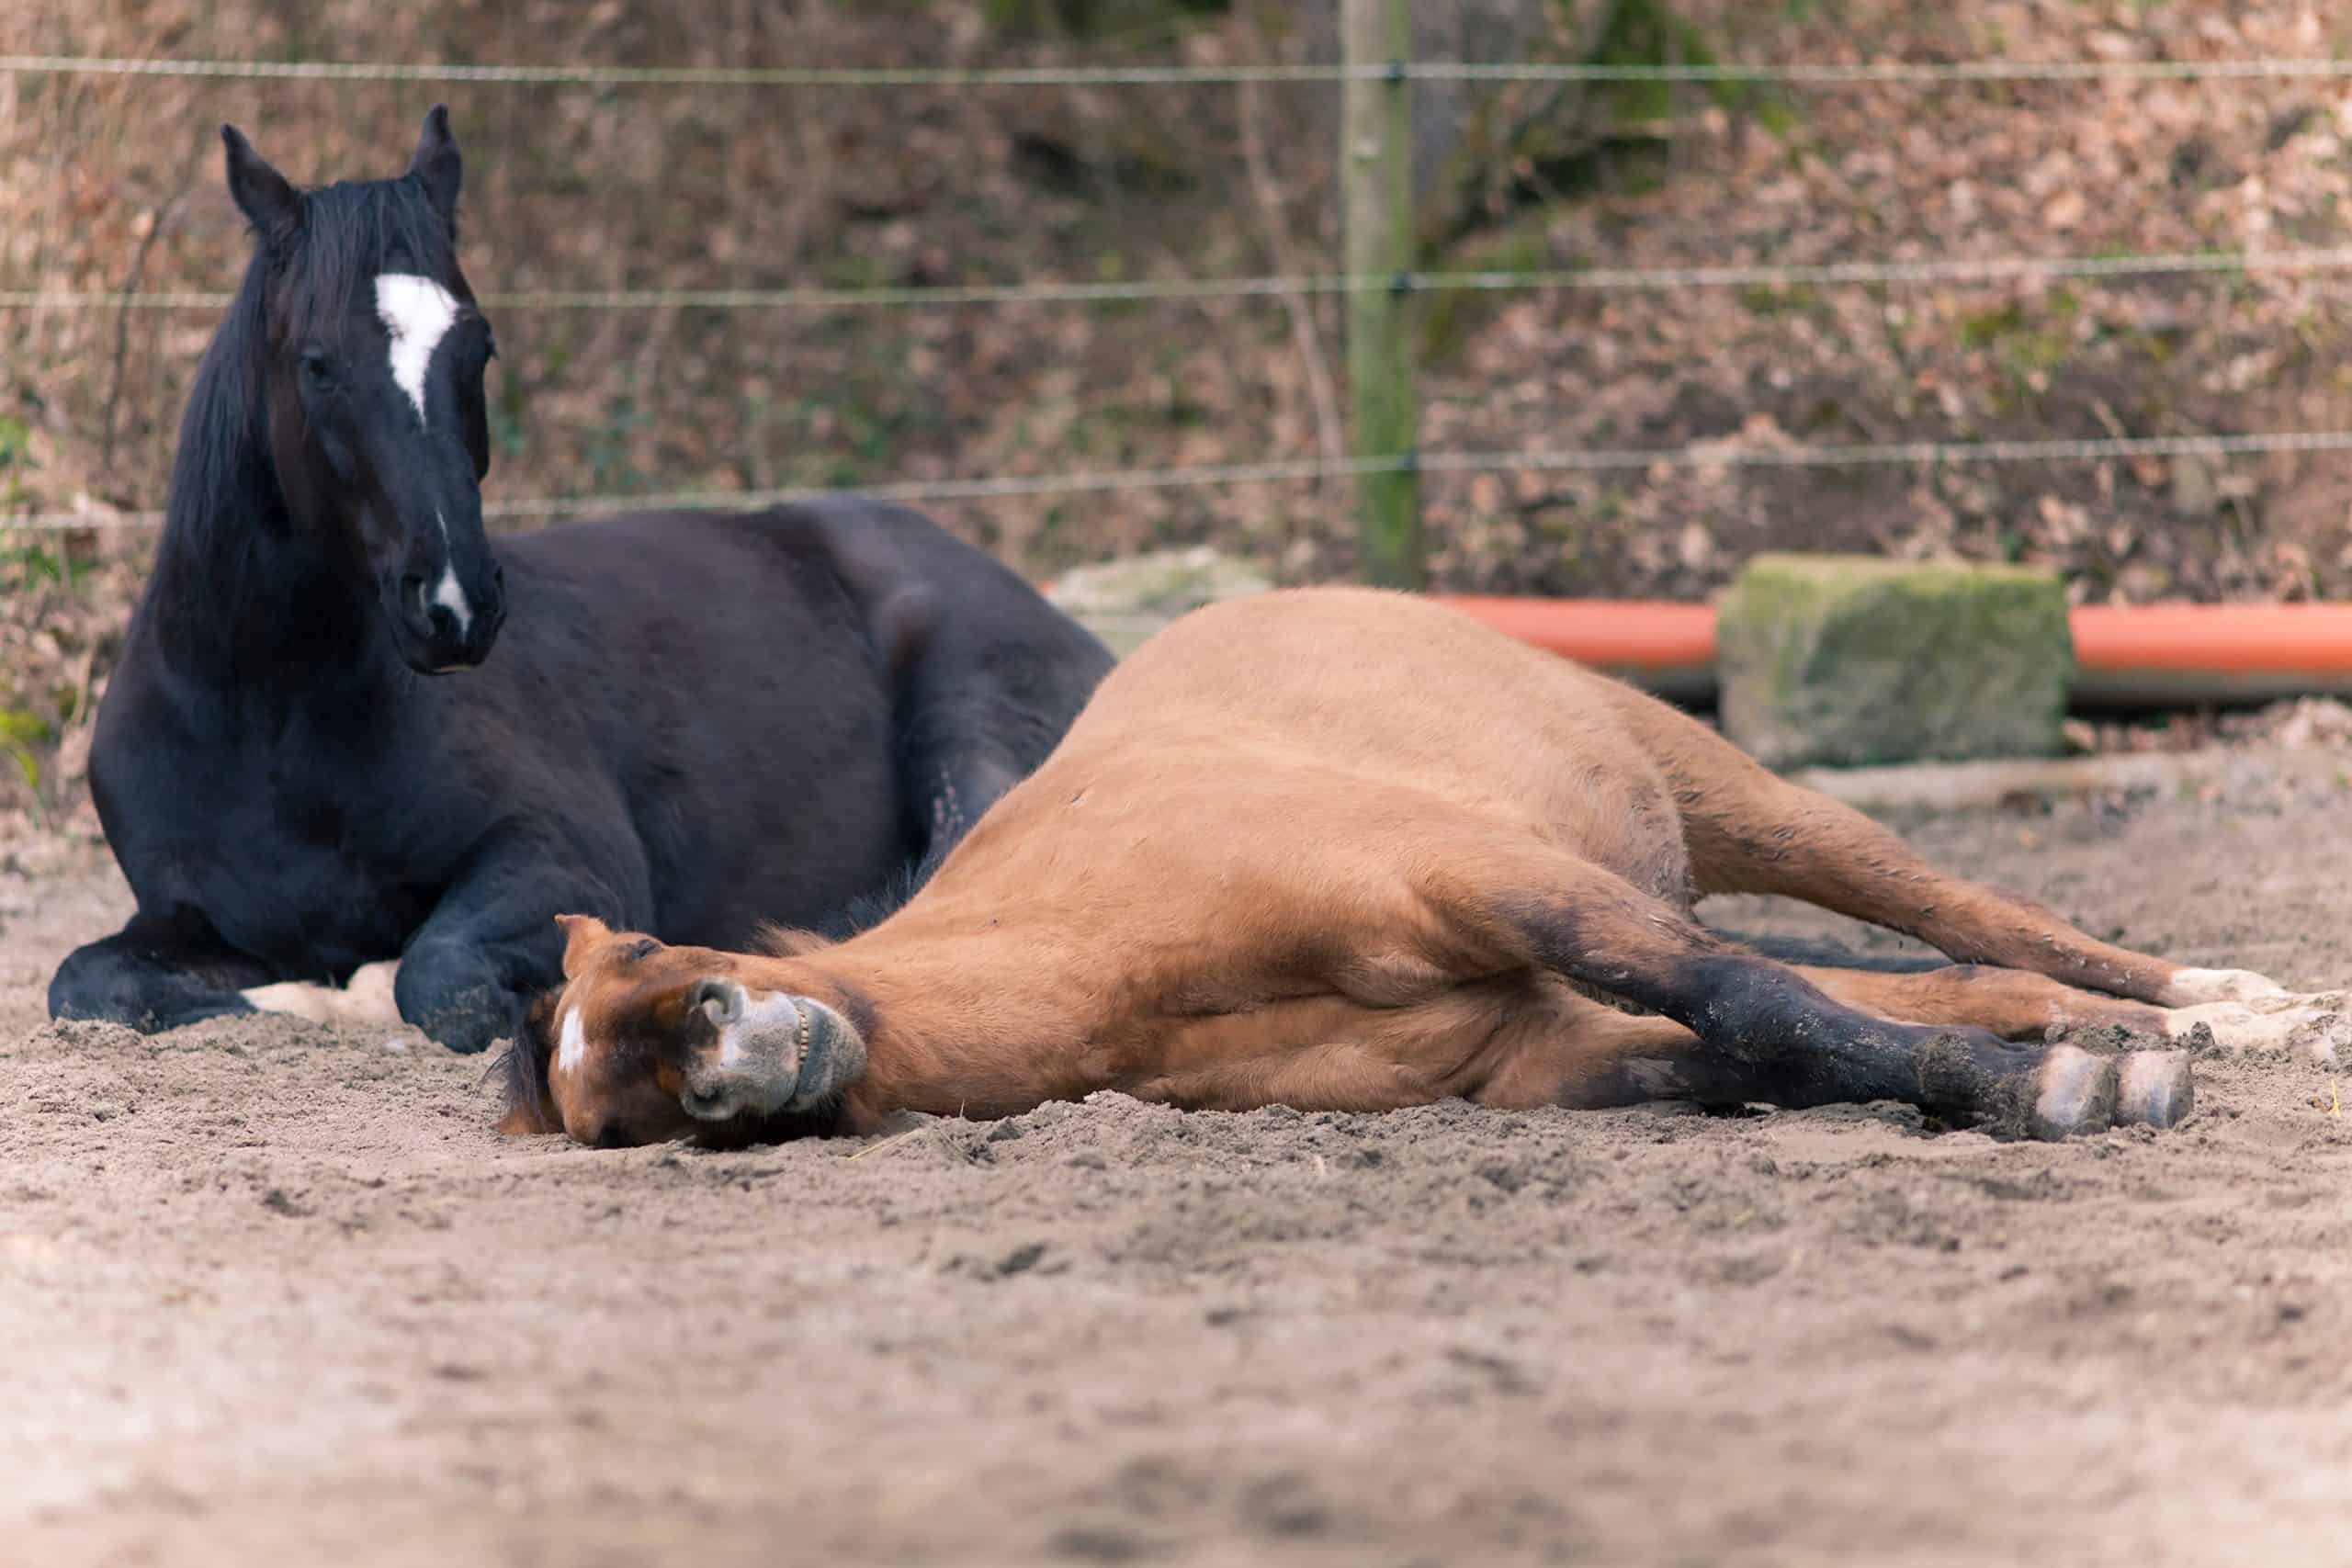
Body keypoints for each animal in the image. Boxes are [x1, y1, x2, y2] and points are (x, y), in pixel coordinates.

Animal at [45, 104, 1110, 1048]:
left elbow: (436, 980)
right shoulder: (186, 921)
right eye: (317, 363)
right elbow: (86, 982)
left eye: (478, 347)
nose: (455, 605)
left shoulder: (562, 855)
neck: (269, 720)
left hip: (968, 722)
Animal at [505, 587, 2342, 1152]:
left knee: (1976, 913)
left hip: (1728, 797)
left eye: (671, 979)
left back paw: (2225, 1002)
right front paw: (2058, 1081)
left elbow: (1759, 1001)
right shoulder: (1540, 1050)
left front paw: (2078, 1096)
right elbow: (1783, 1044)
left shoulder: (1491, 883)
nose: (742, 1068)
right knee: (1956, 969)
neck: (1114, 954)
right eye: (620, 1114)